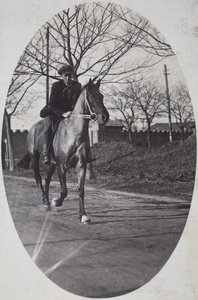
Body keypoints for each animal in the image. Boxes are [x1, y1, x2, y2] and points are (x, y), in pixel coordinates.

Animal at [17, 78, 109, 224]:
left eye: (101, 96)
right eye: (91, 96)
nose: (105, 117)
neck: (74, 133)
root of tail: (32, 128)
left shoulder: (81, 165)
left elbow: (81, 190)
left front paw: (83, 215)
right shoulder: (62, 165)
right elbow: (64, 190)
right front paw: (57, 201)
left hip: (52, 164)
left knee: (47, 179)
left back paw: (47, 202)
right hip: (35, 157)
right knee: (38, 178)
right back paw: (46, 202)